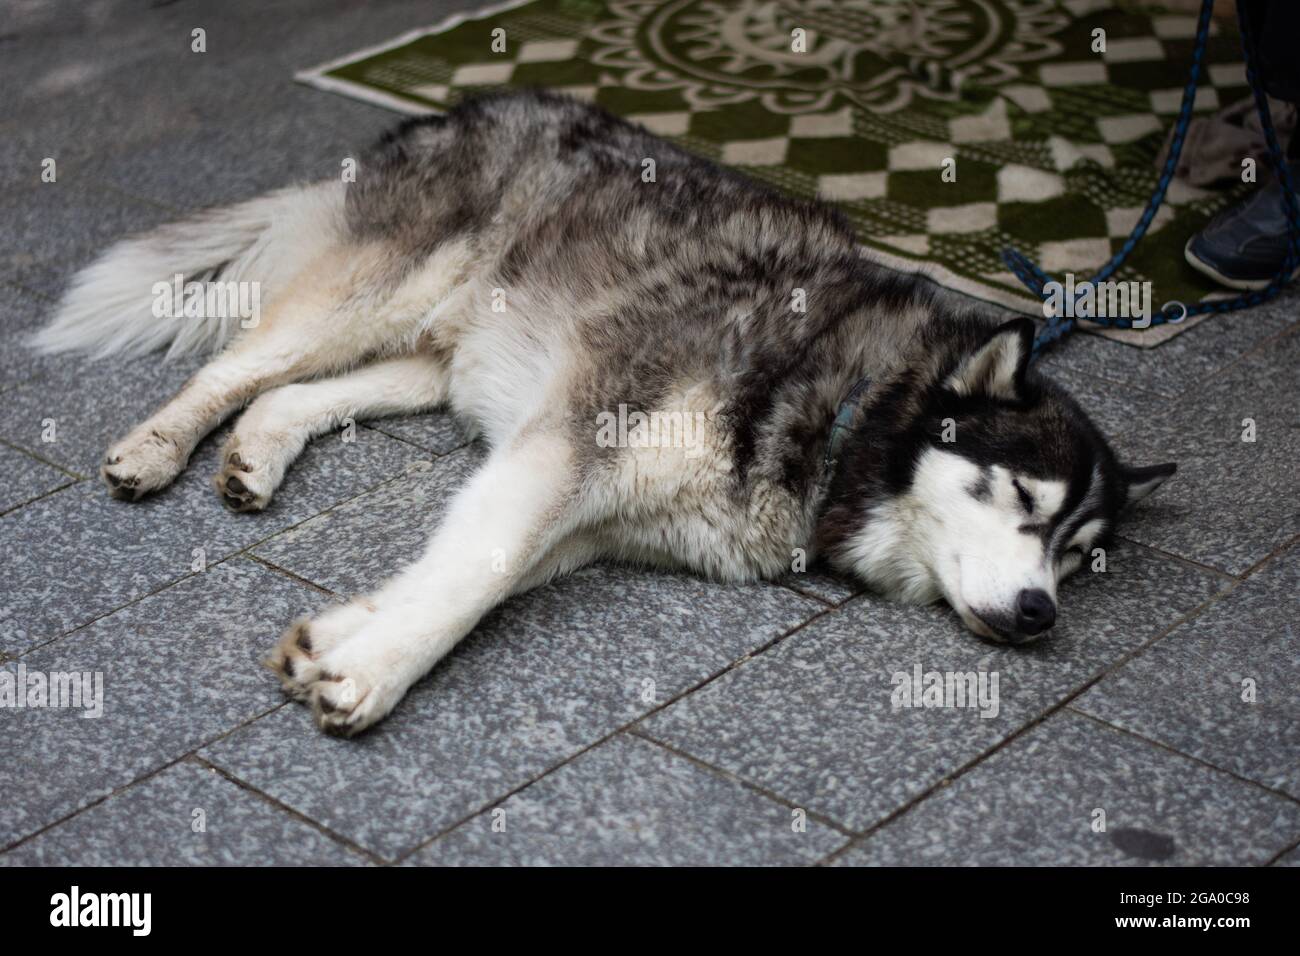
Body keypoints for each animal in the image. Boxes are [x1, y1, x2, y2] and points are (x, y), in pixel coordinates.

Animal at [32, 89, 1180, 738]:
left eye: (1081, 556)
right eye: (1020, 497)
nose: (1039, 614)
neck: (841, 402)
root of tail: (478, 106)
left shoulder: (587, 508)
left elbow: (474, 569)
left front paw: (344, 634)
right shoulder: (568, 448)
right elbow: (472, 574)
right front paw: (374, 671)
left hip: (441, 356)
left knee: (291, 391)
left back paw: (260, 452)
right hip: (379, 291)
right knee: (239, 364)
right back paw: (158, 445)